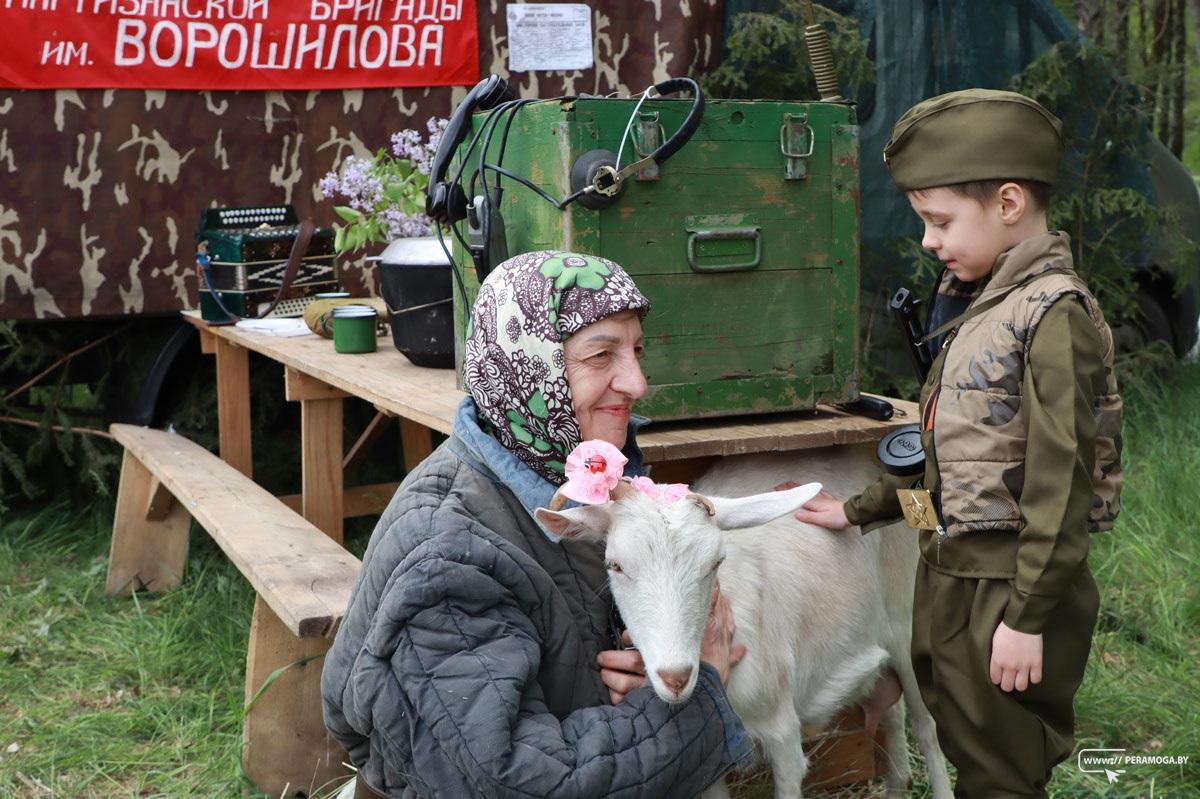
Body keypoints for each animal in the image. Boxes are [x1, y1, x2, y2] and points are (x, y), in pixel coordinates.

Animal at [540, 443, 950, 791]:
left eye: (715, 563)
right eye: (615, 565)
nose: (676, 677)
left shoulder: (782, 732)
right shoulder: (706, 758)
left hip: (906, 623)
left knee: (926, 727)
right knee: (891, 711)